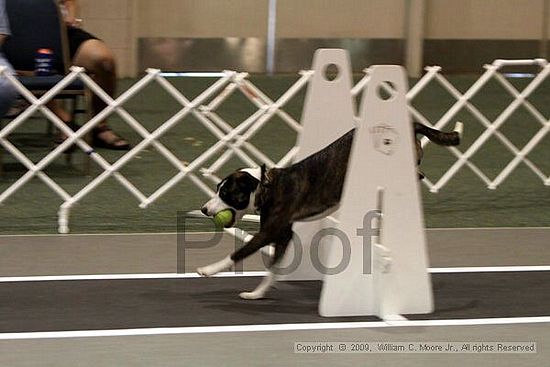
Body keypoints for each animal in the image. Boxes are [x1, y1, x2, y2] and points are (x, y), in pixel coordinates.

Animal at [196, 122, 464, 300]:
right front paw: (257, 293)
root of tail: (412, 122)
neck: (267, 186)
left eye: (226, 193)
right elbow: (273, 267)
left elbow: (238, 253)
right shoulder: (283, 234)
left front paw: (208, 270)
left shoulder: (269, 232)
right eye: (218, 189)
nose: (204, 209)